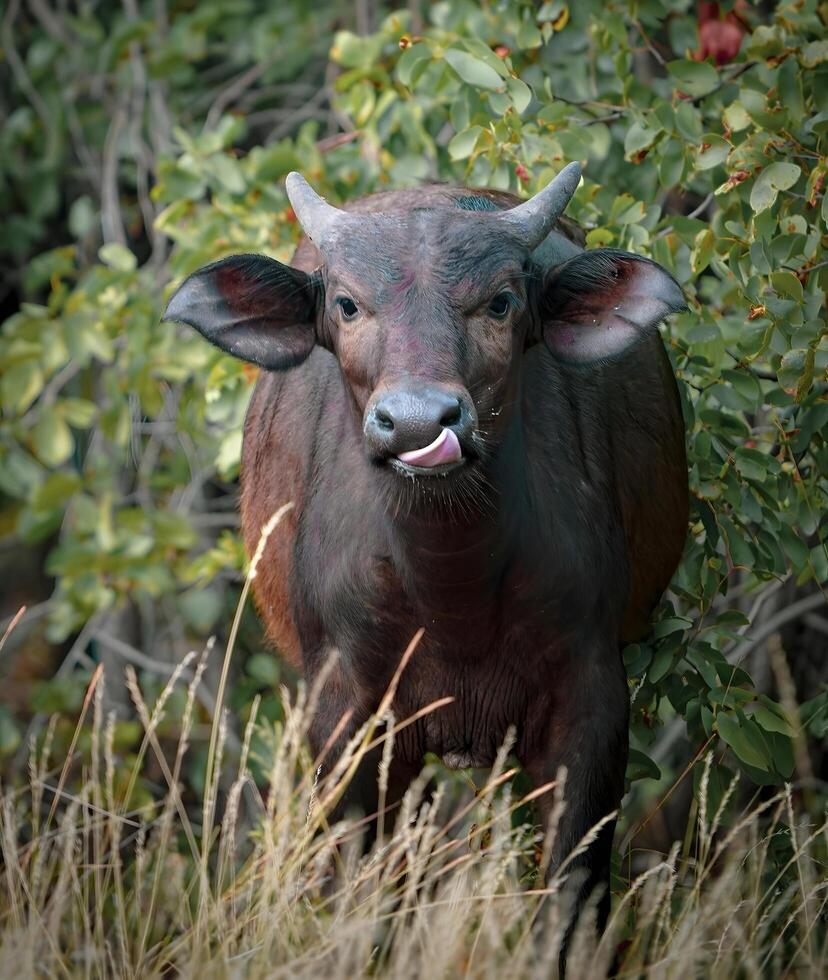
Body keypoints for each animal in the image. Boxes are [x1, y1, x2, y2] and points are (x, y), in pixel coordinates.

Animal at [165, 161, 688, 940]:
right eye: (348, 304)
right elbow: (359, 896)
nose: (416, 422)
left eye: (501, 300)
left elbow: (570, 900)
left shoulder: (592, 701)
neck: (452, 591)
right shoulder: (347, 716)